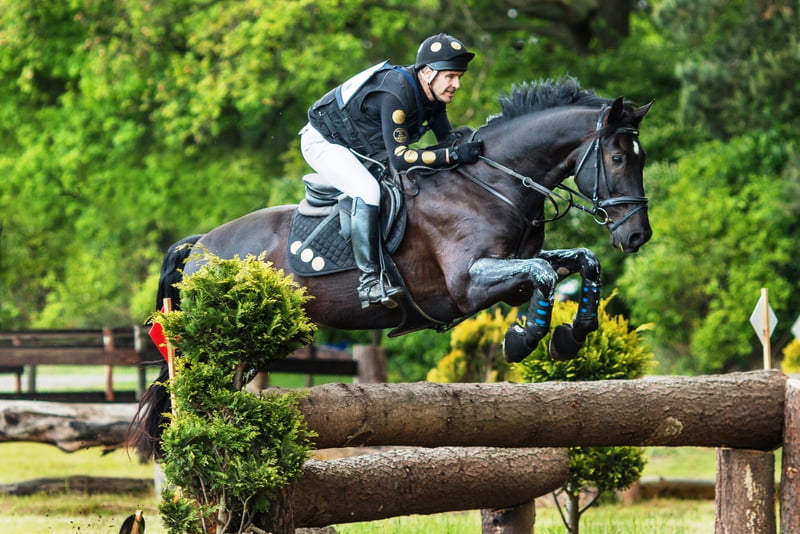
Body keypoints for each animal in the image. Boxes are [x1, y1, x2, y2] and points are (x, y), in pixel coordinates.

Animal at [131, 79, 652, 460]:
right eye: (618, 158)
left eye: (640, 159)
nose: (636, 236)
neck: (491, 182)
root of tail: (201, 244)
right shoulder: (468, 284)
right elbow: (543, 274)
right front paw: (522, 340)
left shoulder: (511, 280)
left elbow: (581, 262)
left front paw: (569, 336)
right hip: (215, 341)